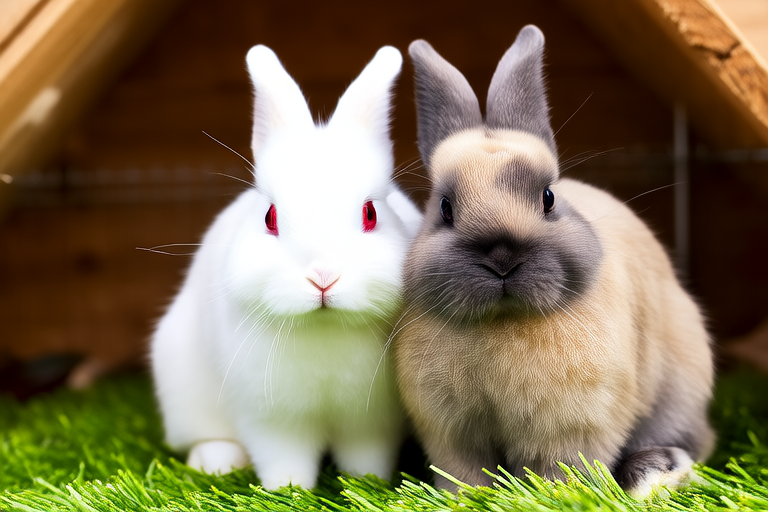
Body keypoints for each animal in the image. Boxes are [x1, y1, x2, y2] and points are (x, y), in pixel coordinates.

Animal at [150, 44, 423, 491]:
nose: (323, 278)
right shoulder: (271, 421)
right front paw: (288, 492)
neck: (324, 329)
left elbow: (366, 458)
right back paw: (215, 463)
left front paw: (366, 485)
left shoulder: (371, 422)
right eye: (270, 217)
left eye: (370, 214)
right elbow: (283, 460)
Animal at [393, 25, 714, 498]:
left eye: (548, 197)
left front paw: (557, 495)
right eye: (445, 208)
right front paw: (467, 498)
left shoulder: (574, 425)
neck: (503, 322)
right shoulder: (451, 431)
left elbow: (561, 470)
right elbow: (465, 473)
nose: (502, 259)